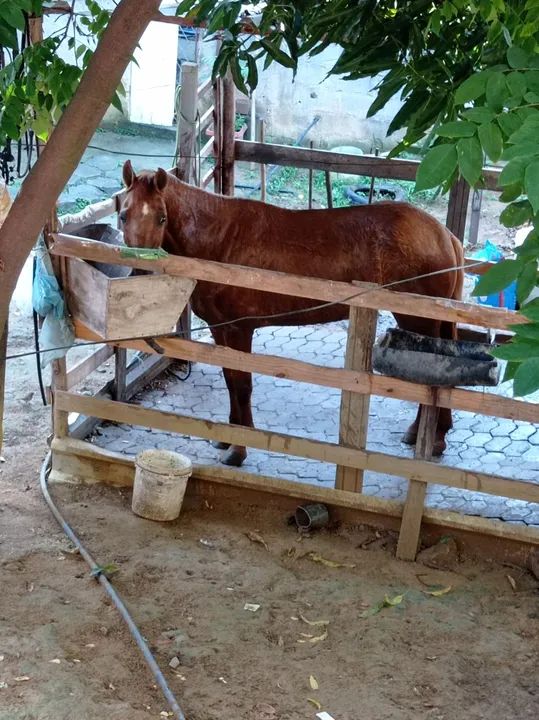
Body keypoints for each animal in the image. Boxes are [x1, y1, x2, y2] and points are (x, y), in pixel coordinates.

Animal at [119, 160, 464, 467]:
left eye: (162, 218)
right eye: (123, 215)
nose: (139, 272)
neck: (220, 241)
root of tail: (444, 235)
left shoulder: (240, 330)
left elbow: (242, 385)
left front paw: (239, 450)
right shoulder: (221, 328)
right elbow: (230, 380)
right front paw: (227, 438)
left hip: (417, 321)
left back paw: (429, 438)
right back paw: (429, 436)